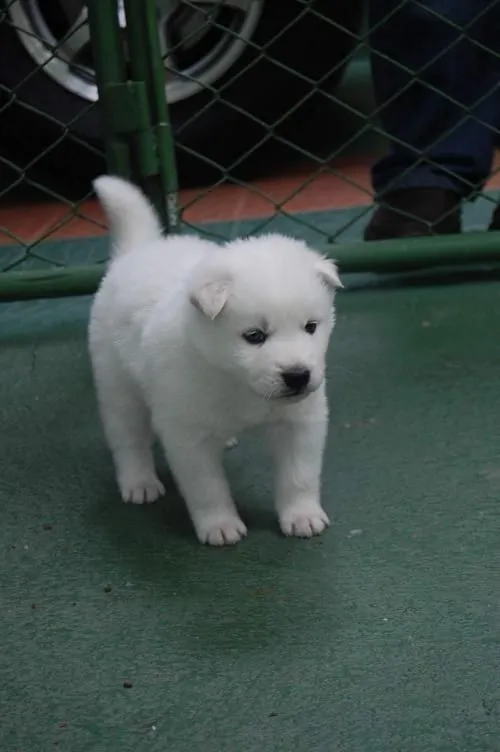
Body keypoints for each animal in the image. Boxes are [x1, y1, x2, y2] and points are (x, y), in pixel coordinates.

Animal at [88, 175, 342, 548]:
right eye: (254, 336)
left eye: (311, 327)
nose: (298, 376)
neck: (234, 380)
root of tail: (138, 251)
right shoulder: (187, 435)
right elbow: (207, 488)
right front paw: (220, 526)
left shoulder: (300, 421)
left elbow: (299, 474)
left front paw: (302, 516)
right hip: (118, 385)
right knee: (128, 439)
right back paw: (139, 482)